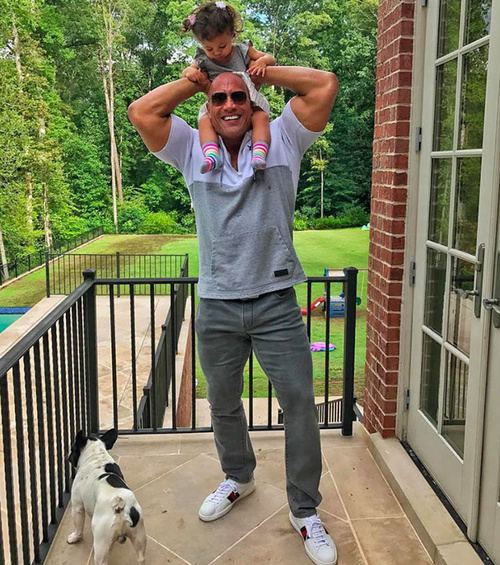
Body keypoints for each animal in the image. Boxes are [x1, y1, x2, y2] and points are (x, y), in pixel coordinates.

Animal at [67, 428, 146, 565]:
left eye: (72, 448)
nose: (68, 456)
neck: (97, 457)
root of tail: (120, 506)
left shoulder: (77, 505)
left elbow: (78, 526)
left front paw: (75, 537)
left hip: (101, 542)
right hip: (139, 534)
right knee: (141, 557)